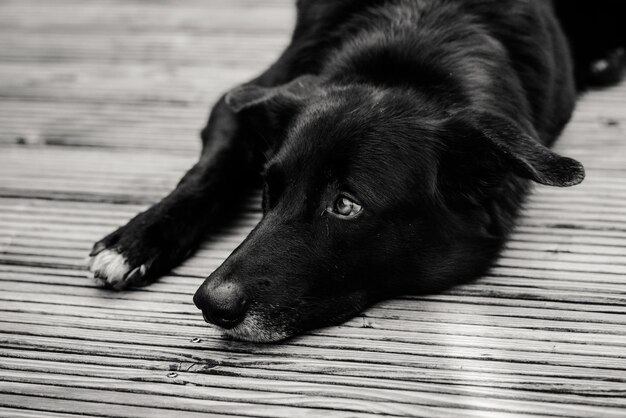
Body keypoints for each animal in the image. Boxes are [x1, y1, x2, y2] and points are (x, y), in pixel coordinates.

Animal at [86, 0, 620, 342]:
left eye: (346, 205)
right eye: (269, 188)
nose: (209, 304)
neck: (413, 47)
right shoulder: (244, 97)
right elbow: (208, 171)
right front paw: (135, 240)